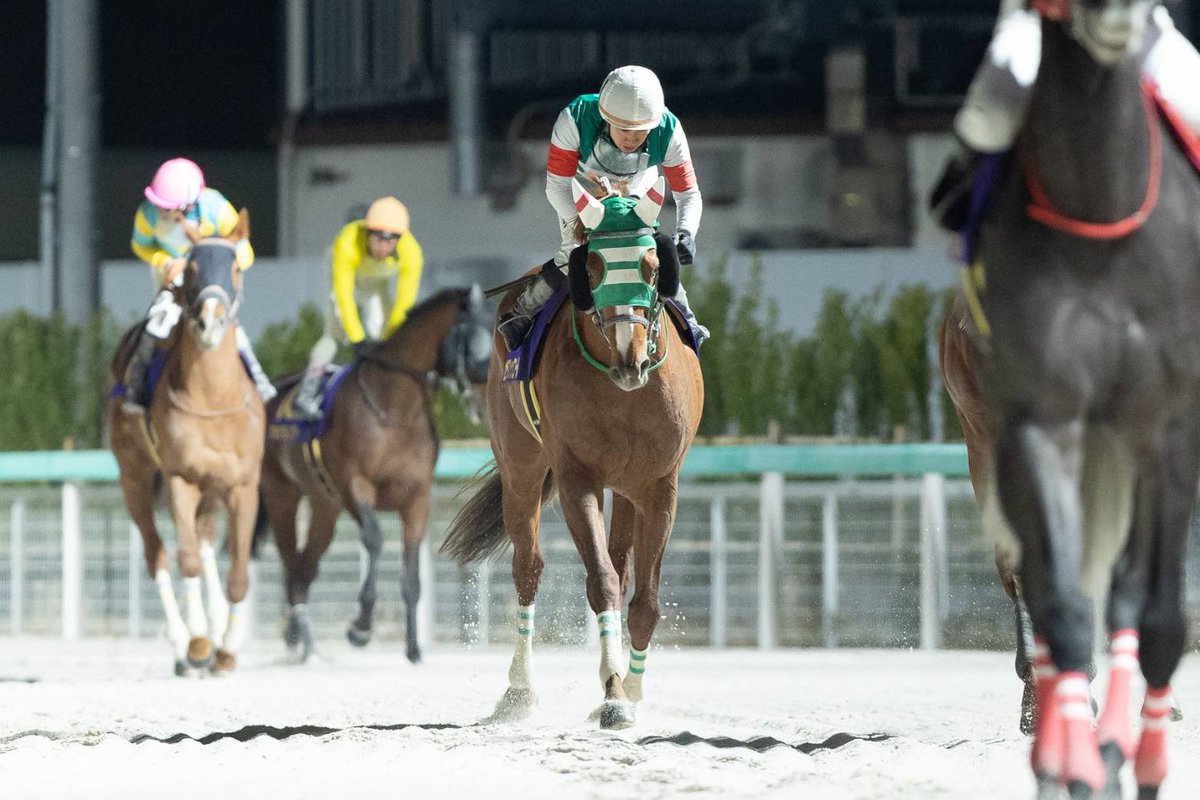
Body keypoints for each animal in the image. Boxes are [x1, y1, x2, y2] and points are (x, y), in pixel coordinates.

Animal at [108, 210, 265, 675]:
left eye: (234, 267)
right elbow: (187, 558)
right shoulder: (180, 478)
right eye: (192, 268)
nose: (211, 321)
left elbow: (237, 572)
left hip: (212, 491)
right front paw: (198, 643)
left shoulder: (242, 485)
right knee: (157, 552)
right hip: (135, 478)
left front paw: (226, 647)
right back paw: (183, 642)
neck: (213, 399)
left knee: (207, 540)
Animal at [259, 285, 492, 664]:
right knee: (291, 562)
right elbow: (375, 538)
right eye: (474, 339)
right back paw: (297, 635)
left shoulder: (417, 498)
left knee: (306, 567)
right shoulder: (356, 486)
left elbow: (412, 575)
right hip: (282, 495)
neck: (396, 411)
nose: (486, 404)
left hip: (325, 506)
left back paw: (301, 639)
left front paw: (413, 649)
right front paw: (361, 626)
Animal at [441, 177, 704, 730]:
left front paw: (632, 690)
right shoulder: (576, 478)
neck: (623, 391)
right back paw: (519, 690)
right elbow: (600, 581)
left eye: (654, 266)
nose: (630, 357)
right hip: (521, 469)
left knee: (622, 567)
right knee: (528, 568)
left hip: (624, 489)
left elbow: (644, 598)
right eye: (594, 267)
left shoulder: (659, 487)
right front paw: (613, 694)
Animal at [966, 3, 1200, 796]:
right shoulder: (1037, 421)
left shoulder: (1165, 426)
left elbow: (1154, 614)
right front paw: (1069, 761)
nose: (1114, 14)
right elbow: (1061, 602)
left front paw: (1138, 760)